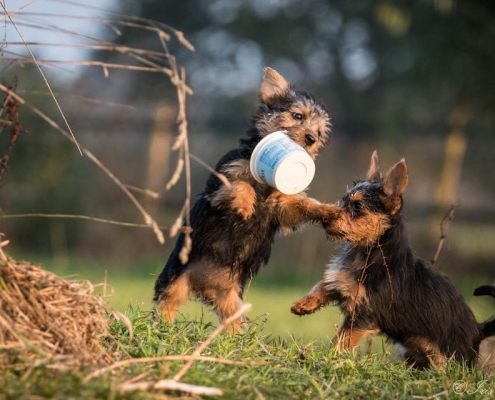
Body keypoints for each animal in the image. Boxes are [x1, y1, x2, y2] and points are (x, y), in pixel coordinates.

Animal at [155, 69, 338, 332]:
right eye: (297, 115)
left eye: (321, 132)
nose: (312, 138)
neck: (265, 184)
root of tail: (203, 286)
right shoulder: (221, 185)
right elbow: (240, 185)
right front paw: (244, 205)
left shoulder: (283, 206)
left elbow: (303, 205)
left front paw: (328, 210)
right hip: (175, 278)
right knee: (166, 304)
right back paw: (162, 328)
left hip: (232, 300)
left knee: (232, 322)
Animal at [290, 151, 495, 368]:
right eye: (343, 201)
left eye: (357, 206)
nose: (324, 218)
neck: (372, 249)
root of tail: (479, 329)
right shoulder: (344, 282)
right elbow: (324, 285)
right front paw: (303, 304)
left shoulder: (363, 315)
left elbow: (342, 339)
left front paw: (331, 356)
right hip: (412, 354)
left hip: (448, 358)